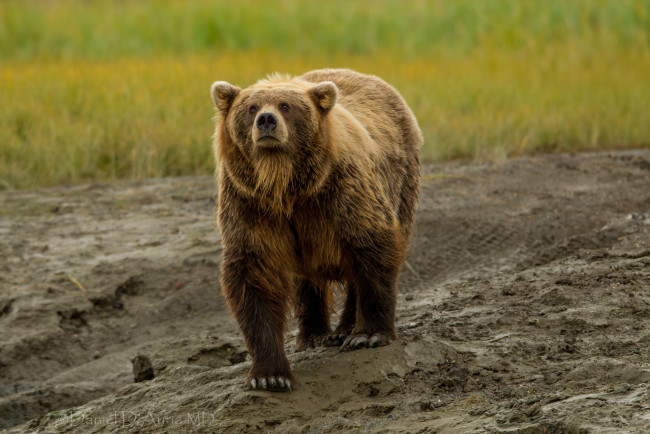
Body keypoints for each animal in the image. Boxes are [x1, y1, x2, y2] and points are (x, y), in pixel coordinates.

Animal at [209, 69, 420, 392]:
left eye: (285, 106)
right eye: (251, 108)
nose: (266, 120)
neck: (285, 186)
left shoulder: (341, 191)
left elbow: (372, 245)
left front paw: (370, 334)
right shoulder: (250, 205)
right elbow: (253, 275)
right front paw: (269, 375)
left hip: (401, 179)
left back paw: (346, 329)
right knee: (306, 282)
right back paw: (313, 335)